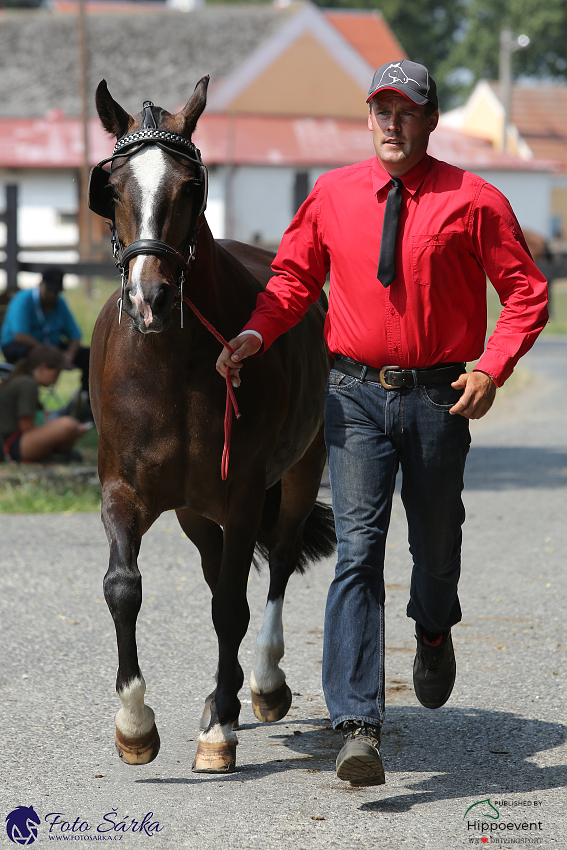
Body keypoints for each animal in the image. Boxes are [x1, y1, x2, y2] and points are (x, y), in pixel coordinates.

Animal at [90, 76, 336, 772]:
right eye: (112, 189)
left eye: (189, 188)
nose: (150, 299)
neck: (172, 363)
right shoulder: (123, 491)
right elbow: (123, 588)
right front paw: (135, 723)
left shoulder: (246, 490)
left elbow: (232, 605)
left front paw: (221, 729)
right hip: (196, 512)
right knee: (216, 566)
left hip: (296, 475)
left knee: (277, 563)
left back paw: (262, 685)